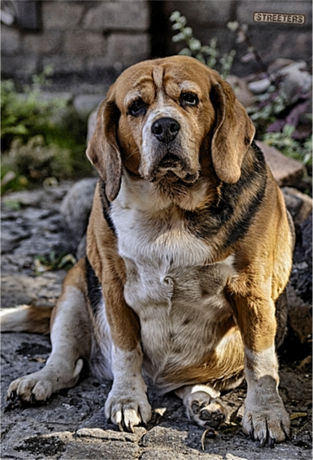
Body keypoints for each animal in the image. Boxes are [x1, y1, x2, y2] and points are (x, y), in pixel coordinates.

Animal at [0, 55, 292, 444]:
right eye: (136, 107)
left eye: (189, 99)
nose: (165, 126)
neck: (170, 206)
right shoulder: (113, 285)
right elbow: (127, 350)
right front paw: (127, 399)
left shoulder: (251, 291)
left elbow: (260, 360)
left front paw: (265, 413)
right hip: (75, 289)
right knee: (65, 361)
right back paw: (38, 382)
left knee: (190, 384)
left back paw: (204, 404)